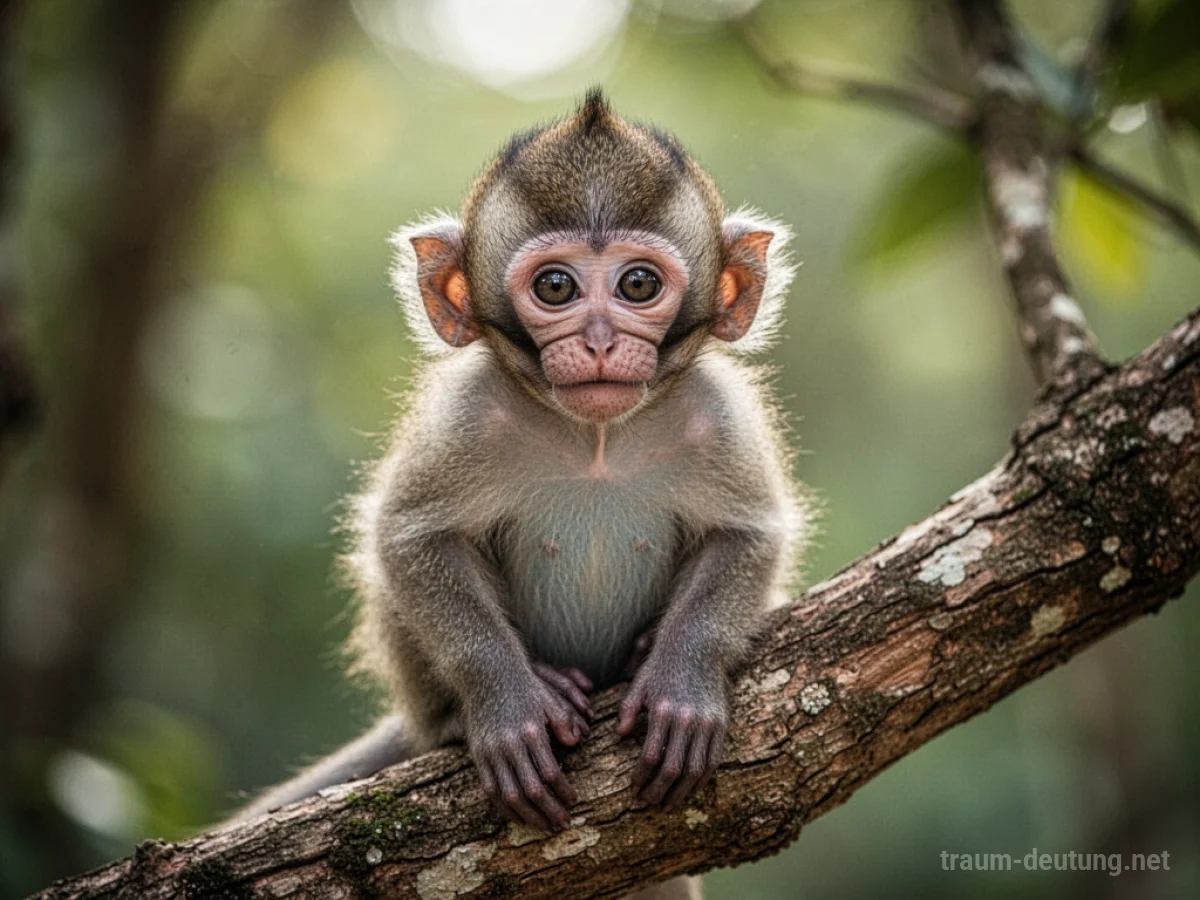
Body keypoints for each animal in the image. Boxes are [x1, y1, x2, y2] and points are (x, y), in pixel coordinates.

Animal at [235, 90, 805, 900]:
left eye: (638, 285)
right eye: (555, 287)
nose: (598, 340)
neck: (597, 437)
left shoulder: (718, 415)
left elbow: (749, 534)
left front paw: (682, 683)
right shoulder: (467, 415)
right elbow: (410, 540)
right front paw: (507, 705)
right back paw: (462, 715)